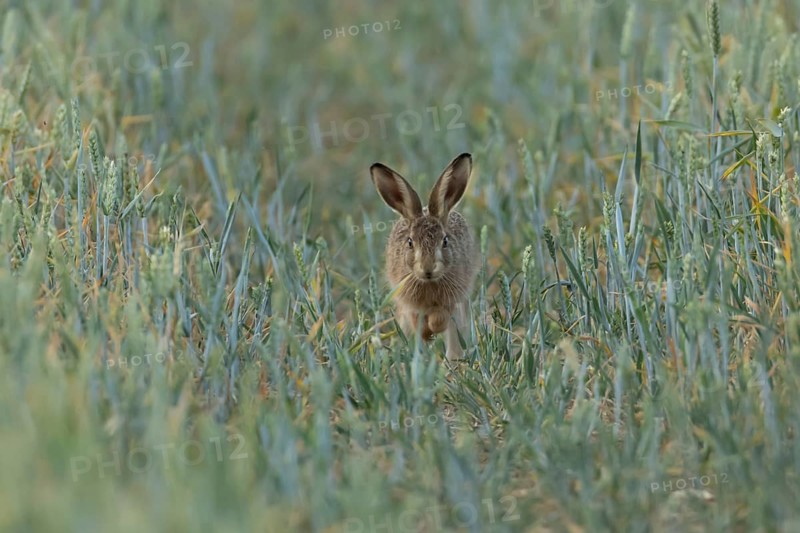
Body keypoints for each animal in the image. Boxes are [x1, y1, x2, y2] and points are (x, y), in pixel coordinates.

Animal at [370, 152, 478, 359]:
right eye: (410, 242)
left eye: (445, 241)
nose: (428, 269)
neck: (429, 283)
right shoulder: (409, 302)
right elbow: (417, 321)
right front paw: (427, 335)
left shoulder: (451, 300)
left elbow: (440, 319)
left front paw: (432, 331)